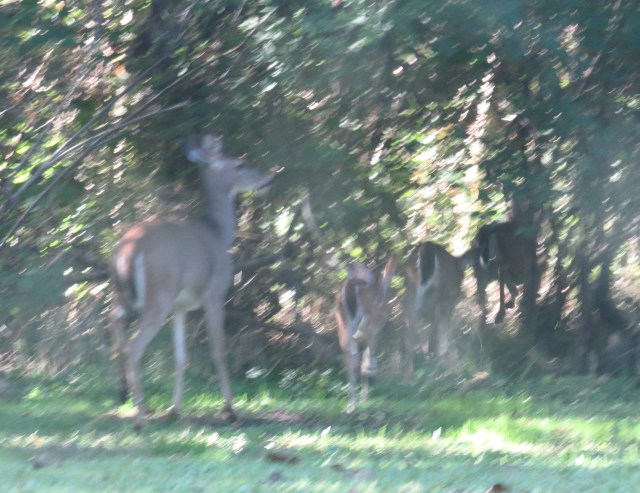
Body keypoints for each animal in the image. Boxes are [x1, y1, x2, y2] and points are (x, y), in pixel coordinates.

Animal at [110, 133, 272, 428]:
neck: (218, 233)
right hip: (159, 294)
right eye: (240, 164)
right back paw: (140, 415)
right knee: (133, 346)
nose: (268, 179)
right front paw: (230, 409)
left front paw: (174, 409)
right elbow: (219, 350)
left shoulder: (181, 307)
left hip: (124, 295)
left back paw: (126, 395)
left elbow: (180, 356)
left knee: (114, 322)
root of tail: (129, 249)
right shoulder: (214, 294)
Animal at [334, 257, 396, 413]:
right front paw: (365, 397)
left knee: (348, 353)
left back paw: (351, 405)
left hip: (342, 322)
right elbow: (368, 356)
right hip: (368, 321)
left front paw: (364, 398)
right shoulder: (375, 330)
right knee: (358, 352)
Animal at [403, 242, 473, 383]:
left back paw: (409, 378)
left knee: (410, 333)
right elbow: (442, 332)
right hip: (439, 296)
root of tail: (427, 248)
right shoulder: (448, 300)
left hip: (411, 293)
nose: (460, 292)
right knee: (436, 330)